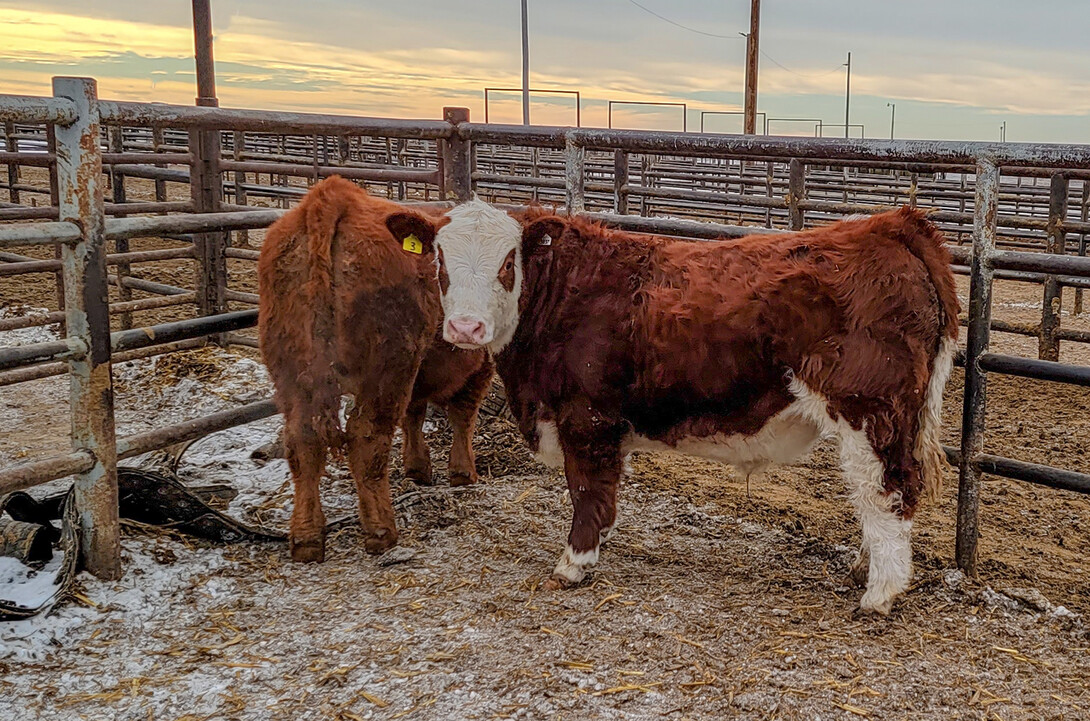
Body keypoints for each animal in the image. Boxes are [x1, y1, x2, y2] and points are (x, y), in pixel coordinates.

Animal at [259, 175, 490, 562]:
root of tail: (333, 198)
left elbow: (415, 414)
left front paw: (418, 467)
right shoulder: (479, 366)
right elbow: (462, 416)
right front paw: (462, 472)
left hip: (292, 372)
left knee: (303, 442)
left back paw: (307, 538)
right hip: (385, 369)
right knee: (367, 438)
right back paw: (381, 531)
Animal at [429, 202, 959, 615]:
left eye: (507, 262)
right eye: (440, 260)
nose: (466, 327)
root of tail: (888, 225)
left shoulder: (586, 417)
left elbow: (587, 491)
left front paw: (574, 564)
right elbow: (604, 494)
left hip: (873, 412)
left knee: (889, 489)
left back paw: (880, 593)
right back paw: (863, 570)